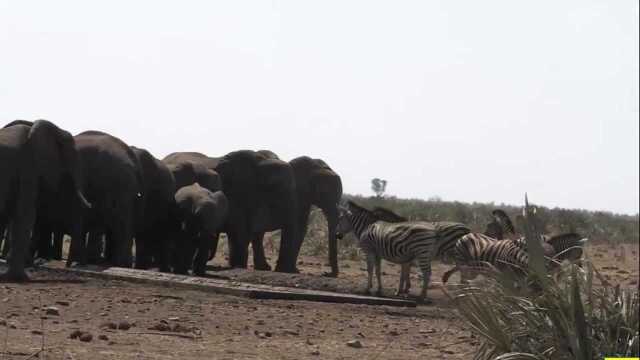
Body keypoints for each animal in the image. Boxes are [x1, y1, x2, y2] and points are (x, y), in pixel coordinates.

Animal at [336, 201, 470, 302]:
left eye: (340, 218)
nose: (337, 235)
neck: (367, 226)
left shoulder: (369, 250)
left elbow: (371, 270)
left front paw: (368, 289)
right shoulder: (380, 253)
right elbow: (379, 271)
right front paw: (381, 290)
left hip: (428, 252)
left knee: (430, 273)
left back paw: (423, 296)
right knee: (460, 269)